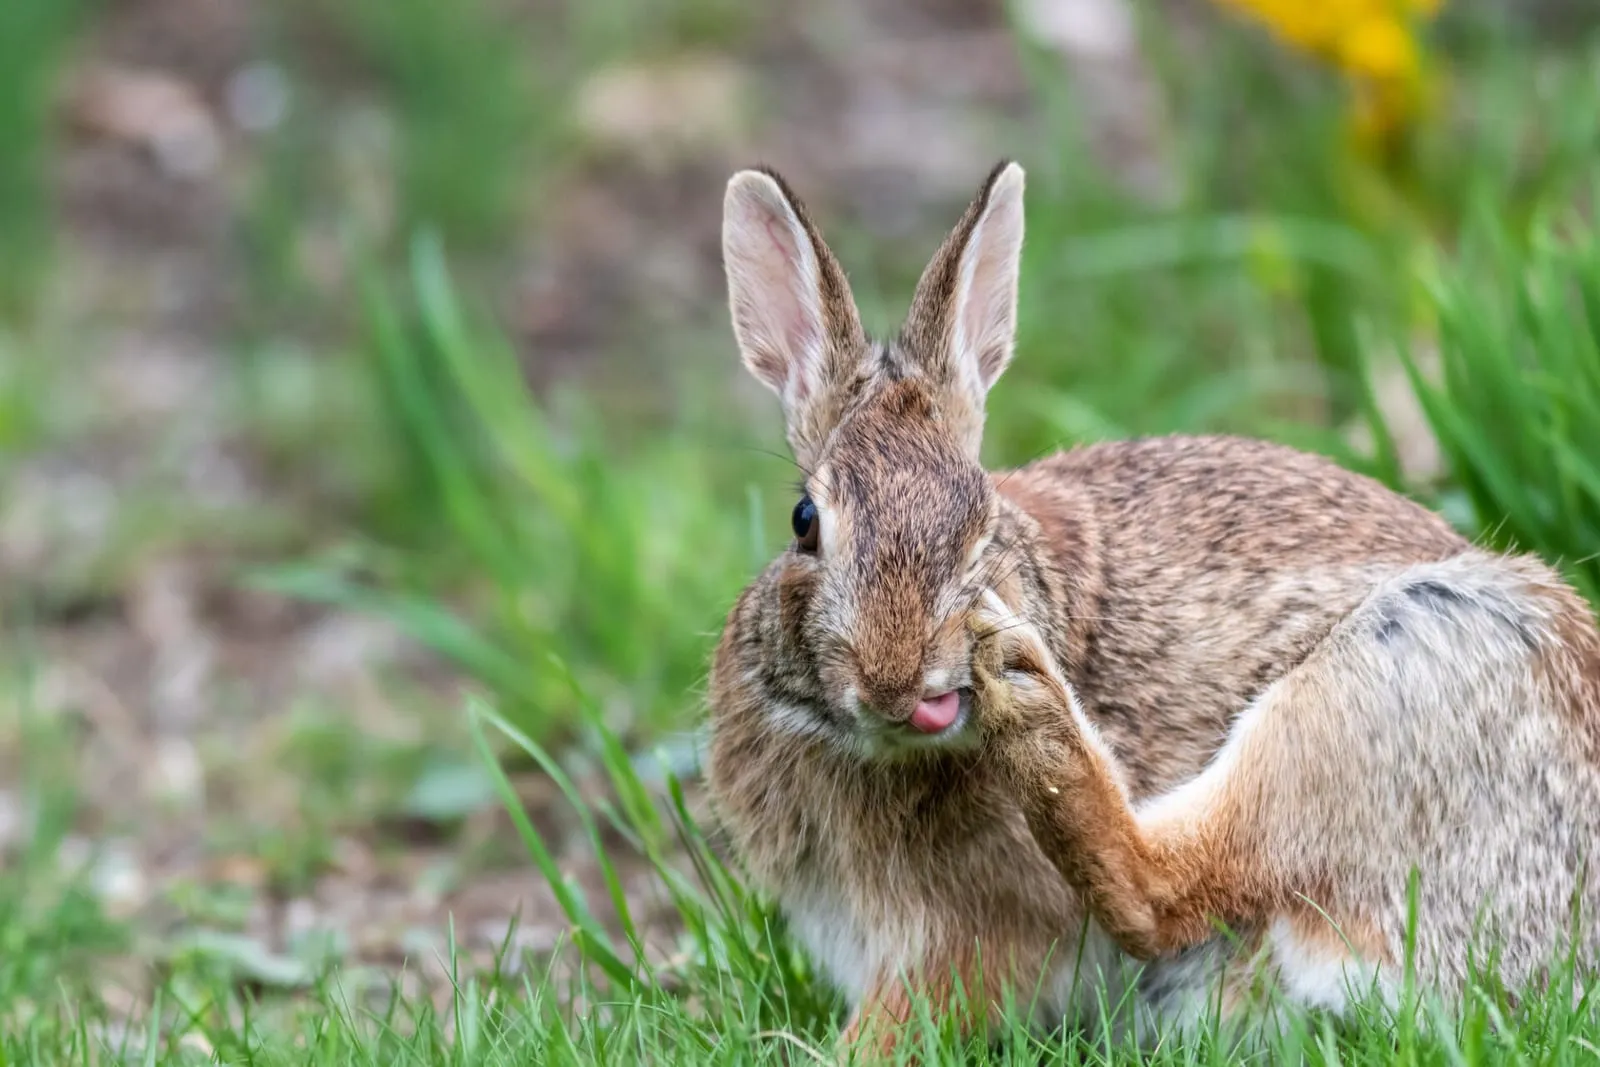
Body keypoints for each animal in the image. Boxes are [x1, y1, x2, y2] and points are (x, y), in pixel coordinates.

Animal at [703, 158, 1600, 1054]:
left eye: (983, 522)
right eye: (805, 522)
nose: (899, 679)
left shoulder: (970, 938)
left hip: (1399, 670)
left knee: (1164, 892)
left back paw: (1033, 704)